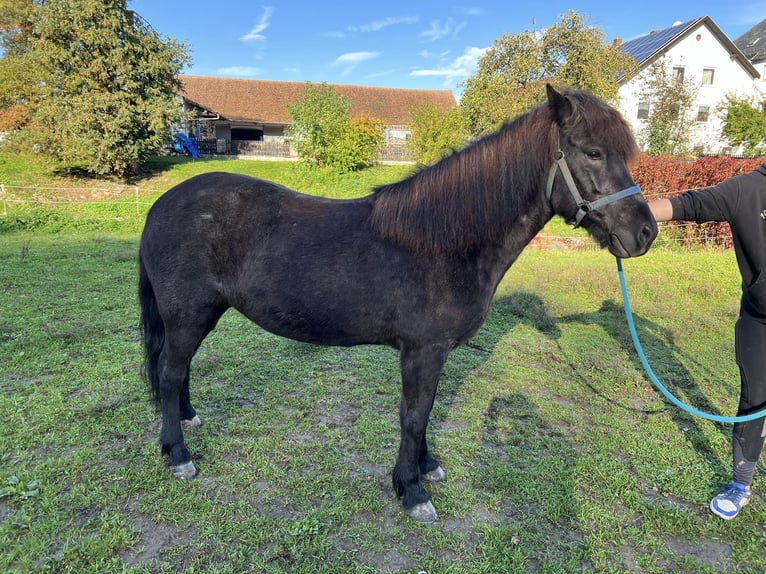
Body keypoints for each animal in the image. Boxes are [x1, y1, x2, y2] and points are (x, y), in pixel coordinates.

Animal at [140, 85, 660, 520]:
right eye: (593, 152)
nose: (645, 232)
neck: (446, 241)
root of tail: (161, 205)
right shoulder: (422, 351)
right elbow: (414, 415)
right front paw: (411, 490)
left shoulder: (433, 353)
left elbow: (424, 414)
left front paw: (426, 467)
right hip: (186, 315)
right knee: (169, 372)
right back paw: (178, 455)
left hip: (201, 315)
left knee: (178, 371)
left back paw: (186, 420)